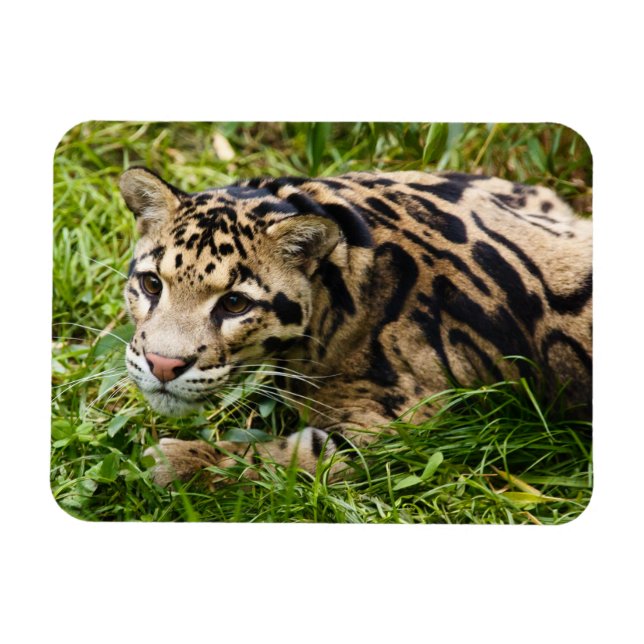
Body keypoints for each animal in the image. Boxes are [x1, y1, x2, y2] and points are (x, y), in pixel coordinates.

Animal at [119, 167, 592, 488]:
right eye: (152, 284)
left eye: (235, 304)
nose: (163, 364)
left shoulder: (404, 424)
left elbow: (285, 457)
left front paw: (182, 462)